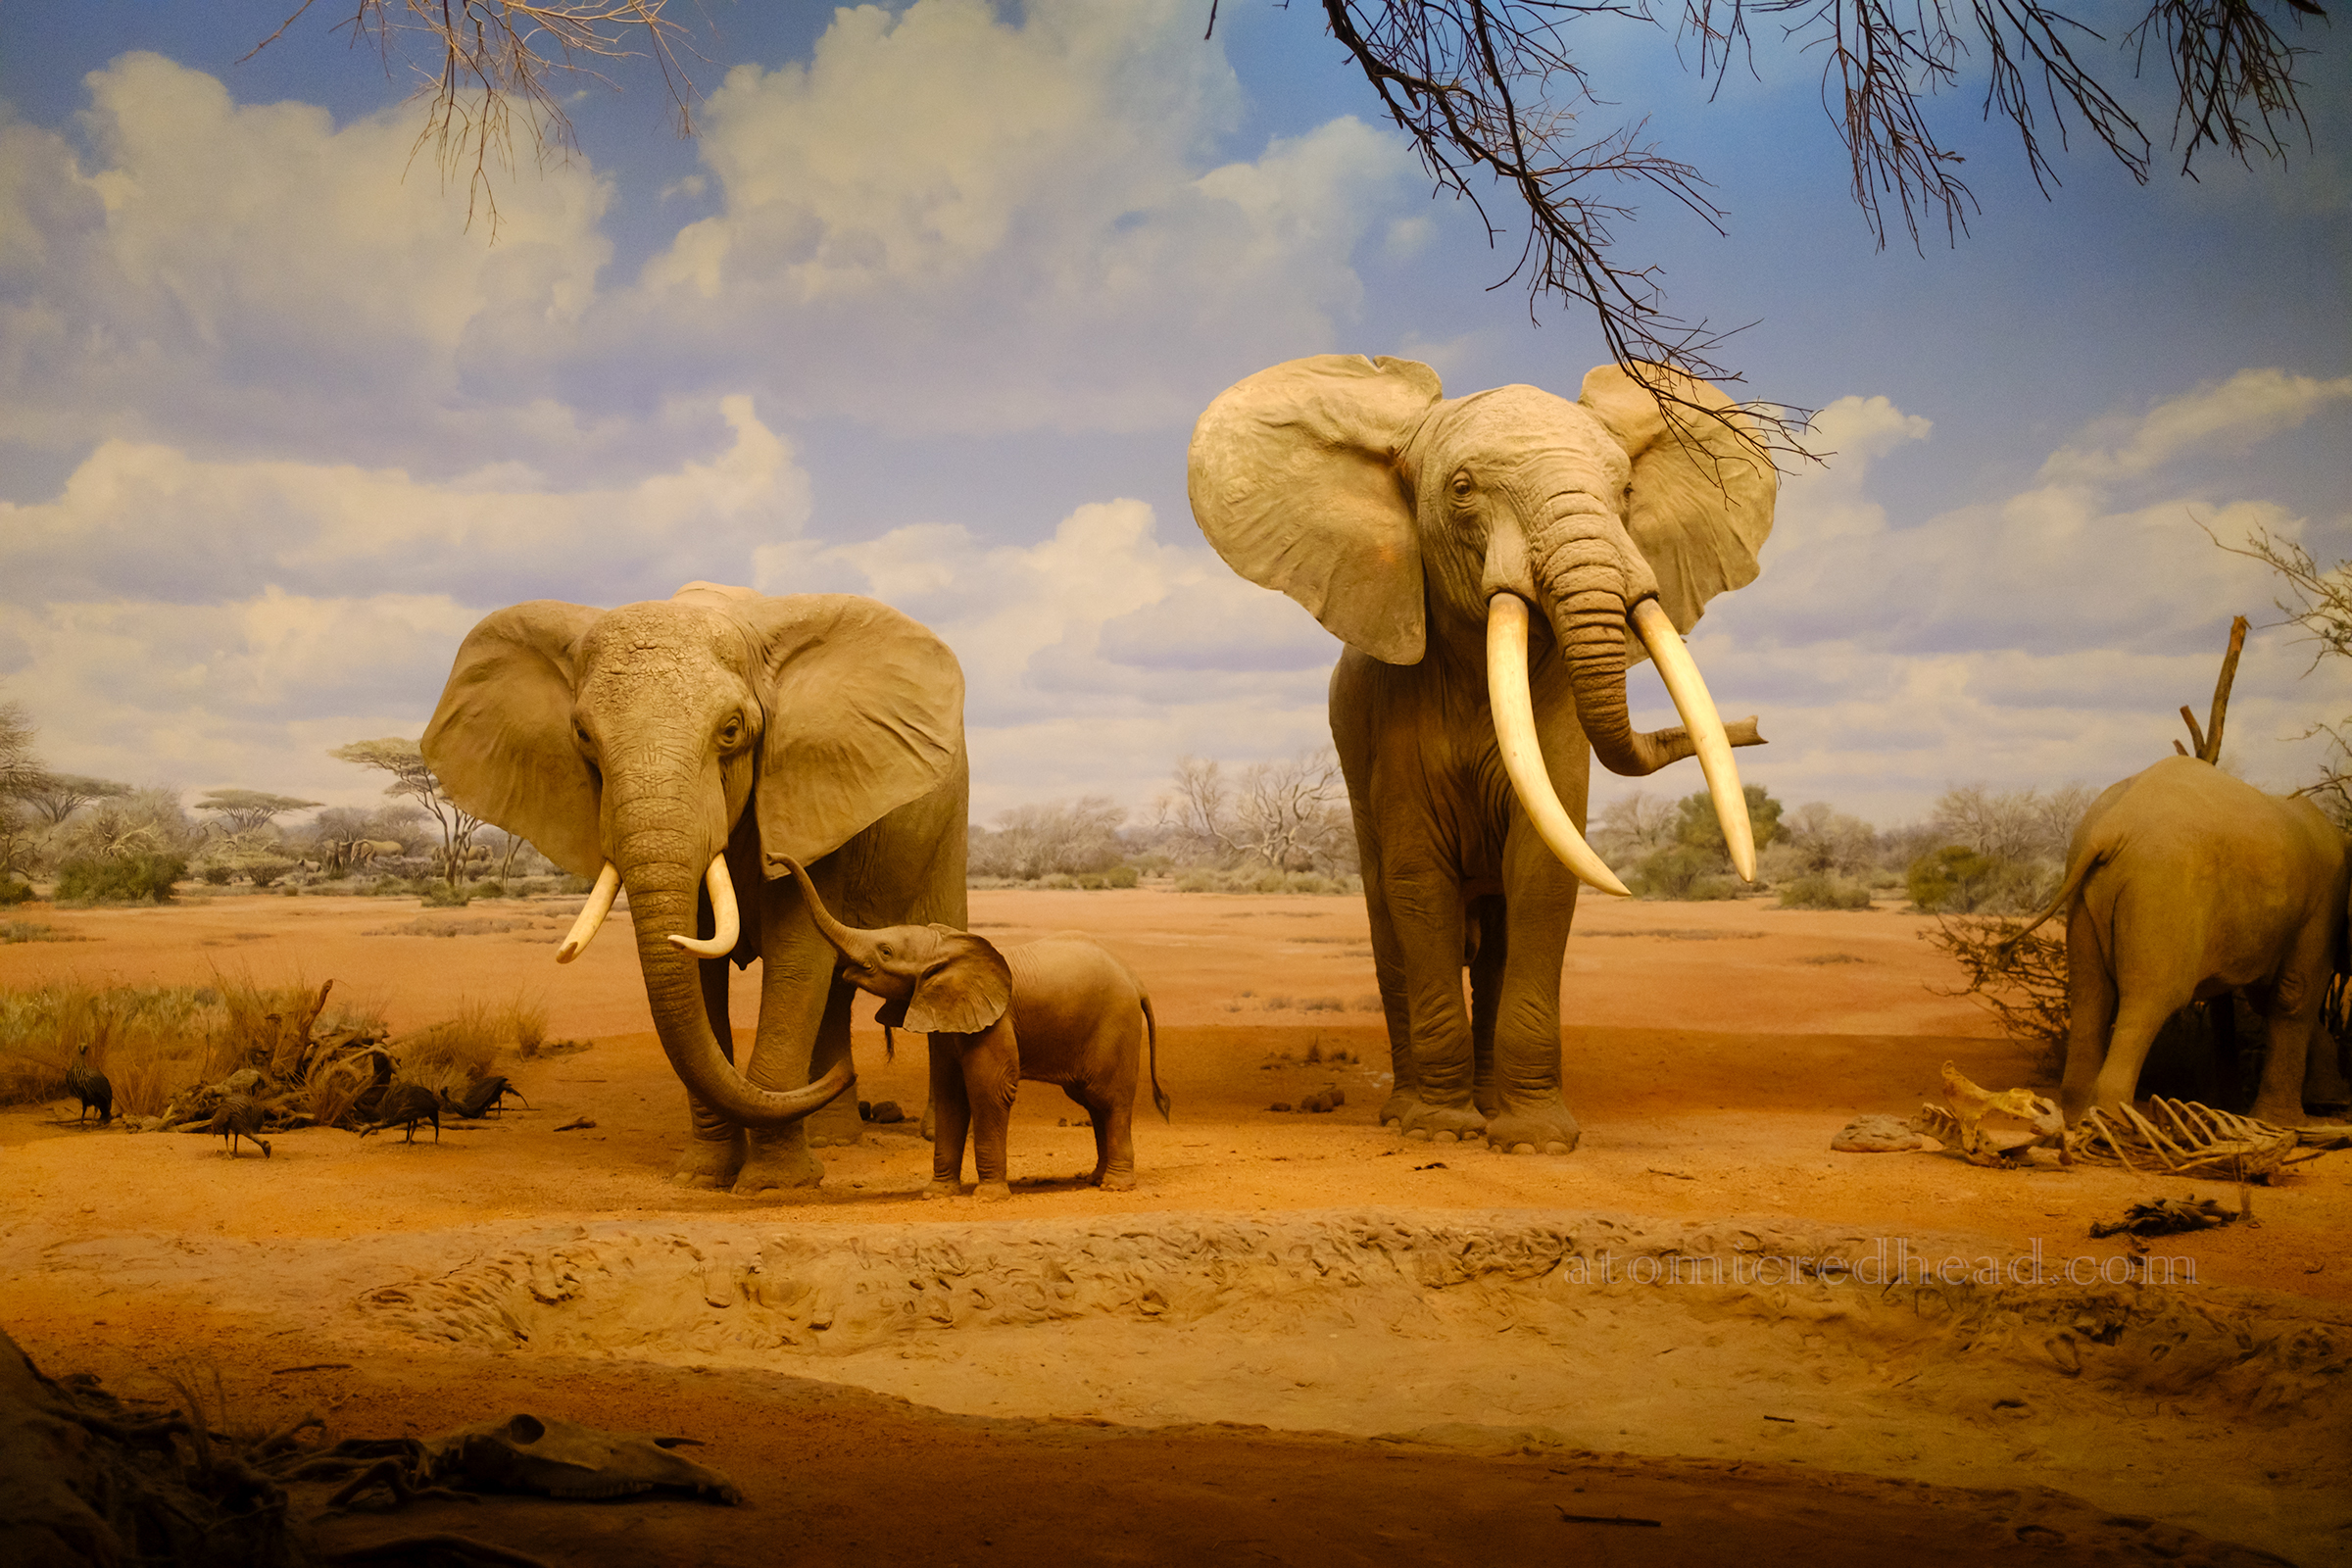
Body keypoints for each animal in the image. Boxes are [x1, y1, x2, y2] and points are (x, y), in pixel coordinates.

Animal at [422, 581, 969, 1194]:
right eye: (583, 736)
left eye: (731, 730)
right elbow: (703, 971)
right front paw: (703, 1176)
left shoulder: (810, 793)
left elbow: (796, 957)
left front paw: (771, 1185)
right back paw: (834, 1132)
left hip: (950, 822)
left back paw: (913, 1128)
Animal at [783, 857, 1170, 1200]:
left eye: (886, 951)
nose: (773, 857)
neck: (948, 947)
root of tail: (1136, 981)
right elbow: (950, 1093)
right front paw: (936, 1194)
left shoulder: (994, 1024)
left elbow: (990, 1090)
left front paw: (988, 1197)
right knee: (1091, 1101)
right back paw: (1095, 1179)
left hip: (1115, 1023)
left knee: (1109, 1098)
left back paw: (1115, 1186)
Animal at [1189, 355, 1774, 1153]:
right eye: (1462, 489)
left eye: (1625, 492)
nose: (1756, 727)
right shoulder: (1393, 720)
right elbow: (1419, 881)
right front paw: (1440, 1132)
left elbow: (1543, 874)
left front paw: (1533, 1140)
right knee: (1388, 925)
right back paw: (1408, 1109)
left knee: (1494, 941)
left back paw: (1492, 1102)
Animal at [2013, 755, 2352, 1127]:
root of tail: (2108, 829)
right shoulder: (2324, 901)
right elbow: (2294, 995)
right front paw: (2285, 1123)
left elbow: (2269, 996)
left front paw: (2327, 1104)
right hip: (2162, 884)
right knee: (2152, 997)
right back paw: (2116, 1125)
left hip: (2085, 895)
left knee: (2091, 992)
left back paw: (2079, 1121)